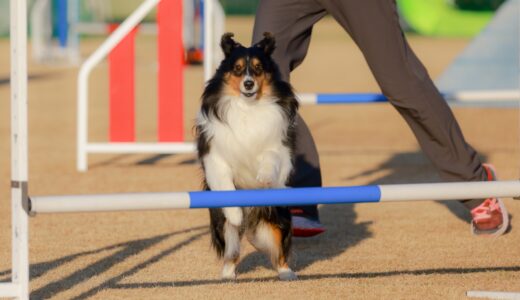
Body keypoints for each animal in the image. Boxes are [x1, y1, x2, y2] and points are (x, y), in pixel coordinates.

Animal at [195, 32, 298, 282]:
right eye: (238, 68)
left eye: (259, 68)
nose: (249, 84)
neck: (248, 106)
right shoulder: (214, 157)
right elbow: (224, 183)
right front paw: (235, 213)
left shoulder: (281, 148)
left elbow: (271, 157)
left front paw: (265, 176)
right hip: (221, 225)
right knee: (231, 251)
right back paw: (227, 274)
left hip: (277, 217)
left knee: (279, 247)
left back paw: (286, 273)